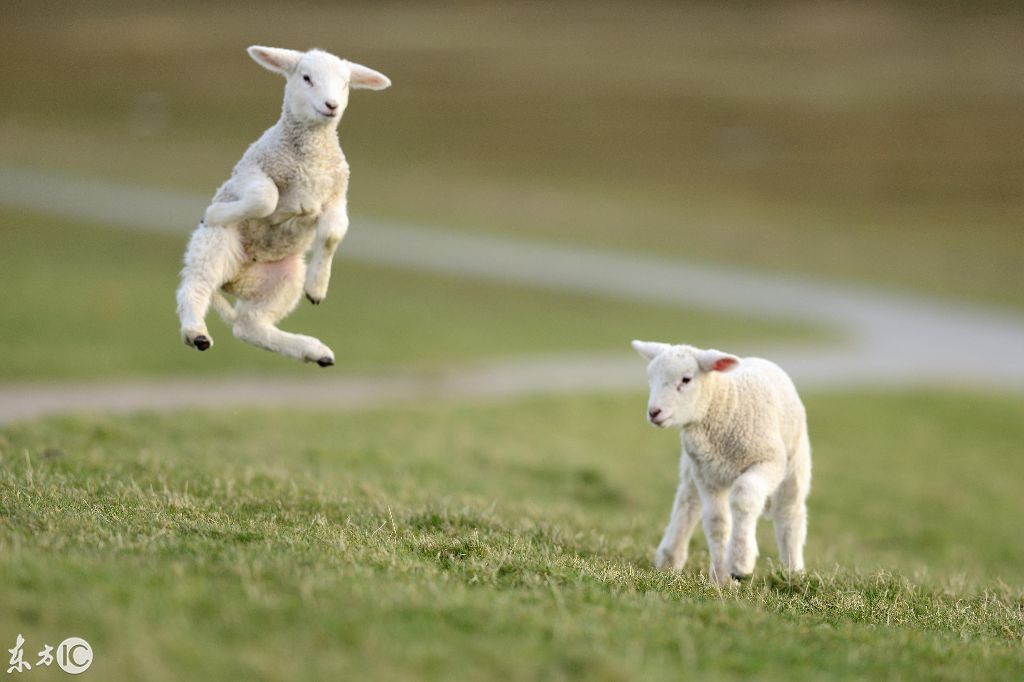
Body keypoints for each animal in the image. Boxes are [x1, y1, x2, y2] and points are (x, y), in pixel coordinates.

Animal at [174, 45, 389, 364]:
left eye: (346, 83)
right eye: (306, 77)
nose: (332, 105)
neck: (312, 153)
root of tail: (236, 279)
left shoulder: (337, 194)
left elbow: (334, 232)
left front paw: (317, 288)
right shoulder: (251, 170)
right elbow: (266, 199)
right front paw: (214, 212)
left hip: (285, 278)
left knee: (249, 326)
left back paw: (314, 351)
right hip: (214, 243)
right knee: (195, 286)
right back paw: (196, 334)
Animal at [626, 339, 811, 585]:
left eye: (686, 379)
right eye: (650, 378)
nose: (654, 412)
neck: (724, 405)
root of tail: (761, 359)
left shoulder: (768, 461)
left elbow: (744, 497)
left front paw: (741, 563)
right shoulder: (707, 475)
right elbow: (717, 522)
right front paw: (722, 578)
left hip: (794, 462)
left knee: (789, 514)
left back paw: (793, 572)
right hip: (691, 469)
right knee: (687, 503)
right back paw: (669, 558)